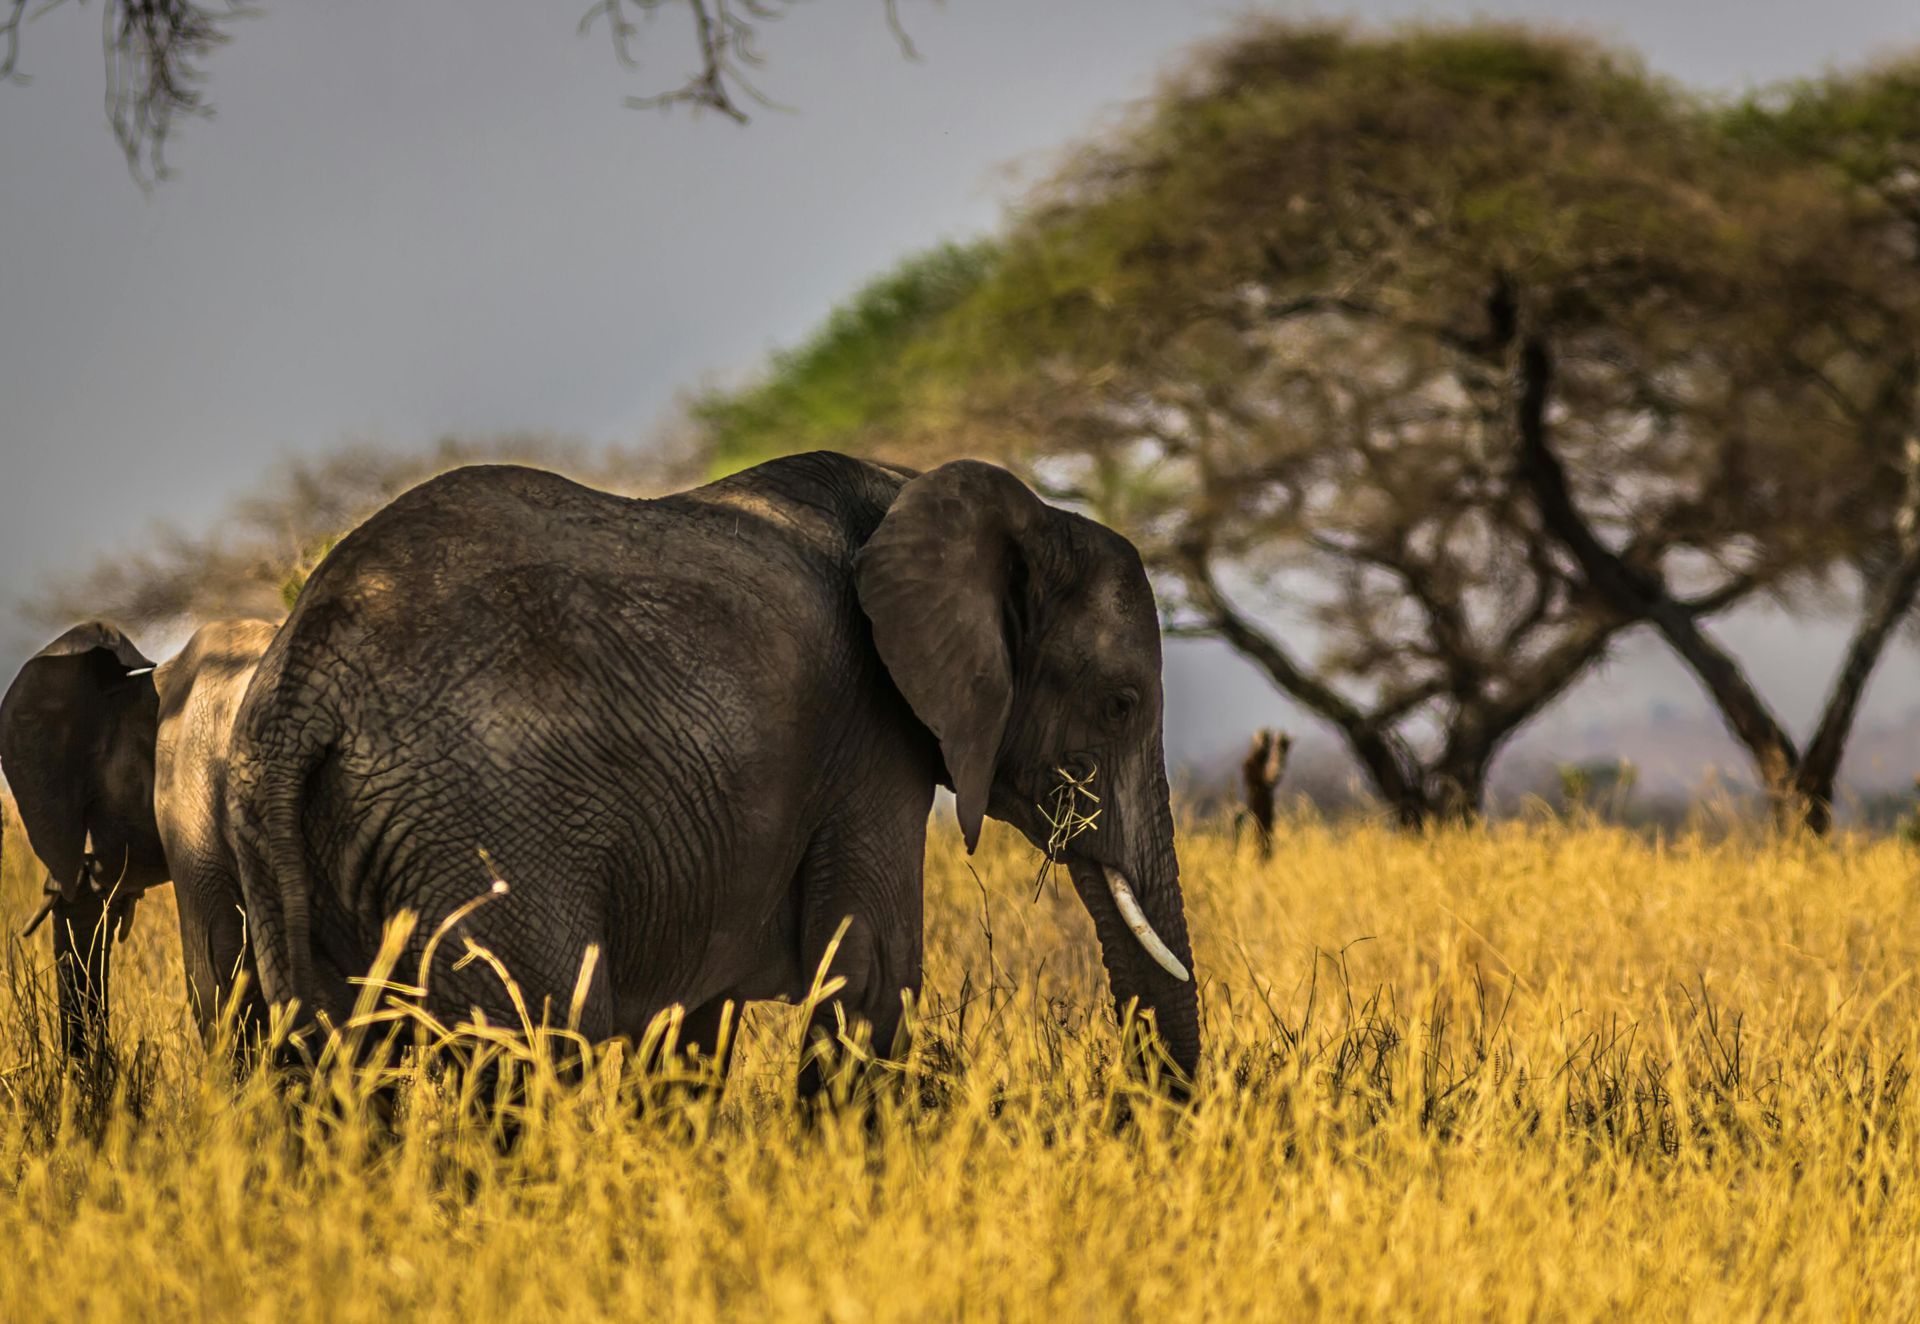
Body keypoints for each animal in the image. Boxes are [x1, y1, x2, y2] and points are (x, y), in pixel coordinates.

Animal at [226, 452, 1200, 1094]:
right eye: (1121, 704)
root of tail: (307, 681)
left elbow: (694, 1021)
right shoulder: (870, 735)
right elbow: (872, 973)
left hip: (285, 848)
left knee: (325, 1061)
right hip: (478, 828)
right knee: (542, 1047)